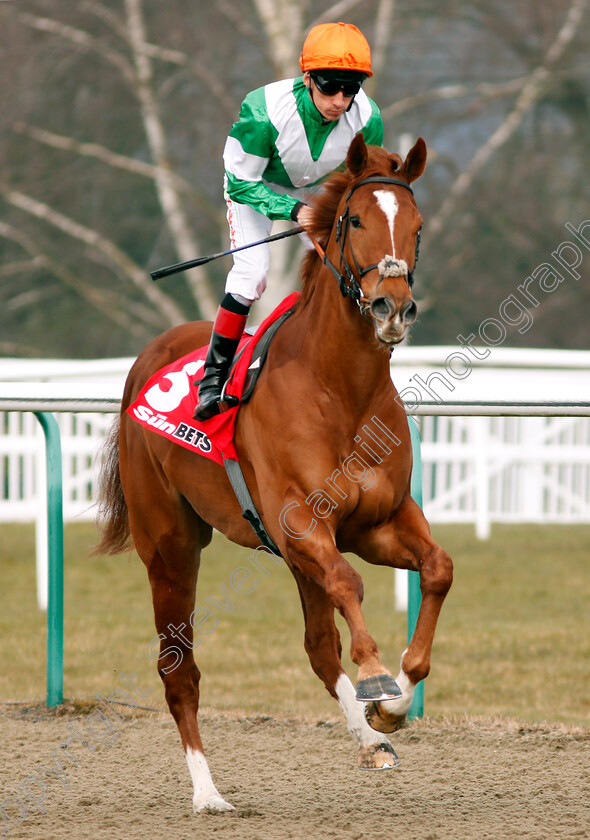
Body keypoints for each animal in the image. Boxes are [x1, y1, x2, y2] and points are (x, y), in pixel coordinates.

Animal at [97, 136, 456, 812]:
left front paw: (395, 701)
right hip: (171, 545)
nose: (393, 307)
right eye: (355, 219)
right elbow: (350, 584)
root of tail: (144, 361)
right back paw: (208, 793)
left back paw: (371, 740)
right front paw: (378, 676)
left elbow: (437, 568)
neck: (340, 390)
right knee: (178, 668)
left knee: (318, 648)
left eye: (419, 226)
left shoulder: (377, 522)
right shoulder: (301, 524)